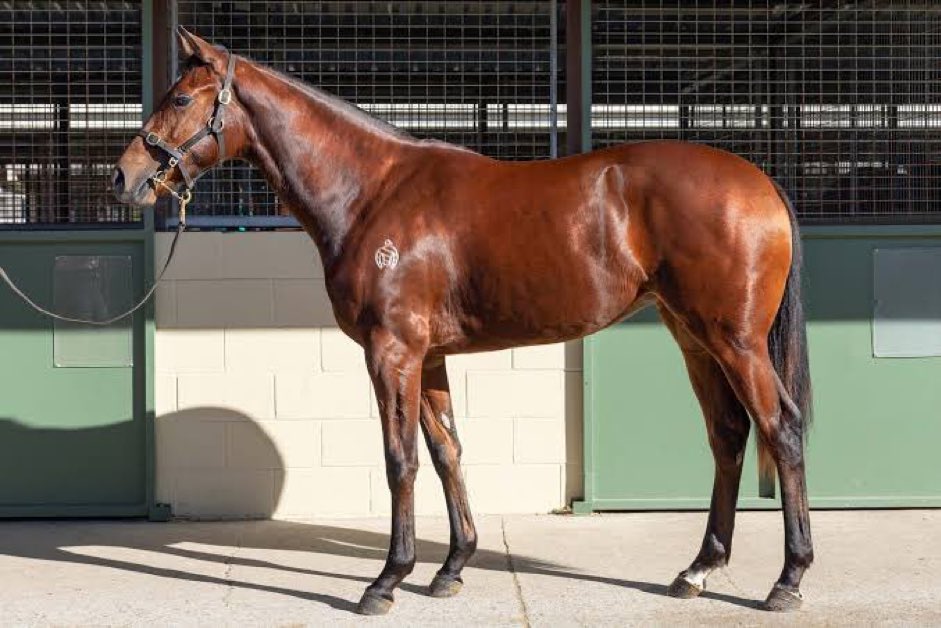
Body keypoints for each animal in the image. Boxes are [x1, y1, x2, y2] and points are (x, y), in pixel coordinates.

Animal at [113, 28, 813, 615]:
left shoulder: (390, 352)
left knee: (781, 429)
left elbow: (400, 460)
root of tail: (761, 183)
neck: (371, 192)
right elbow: (447, 450)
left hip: (735, 341)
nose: (125, 178)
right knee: (728, 434)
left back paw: (787, 580)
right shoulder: (428, 356)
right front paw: (450, 568)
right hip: (692, 337)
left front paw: (386, 581)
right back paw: (697, 570)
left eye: (180, 98)